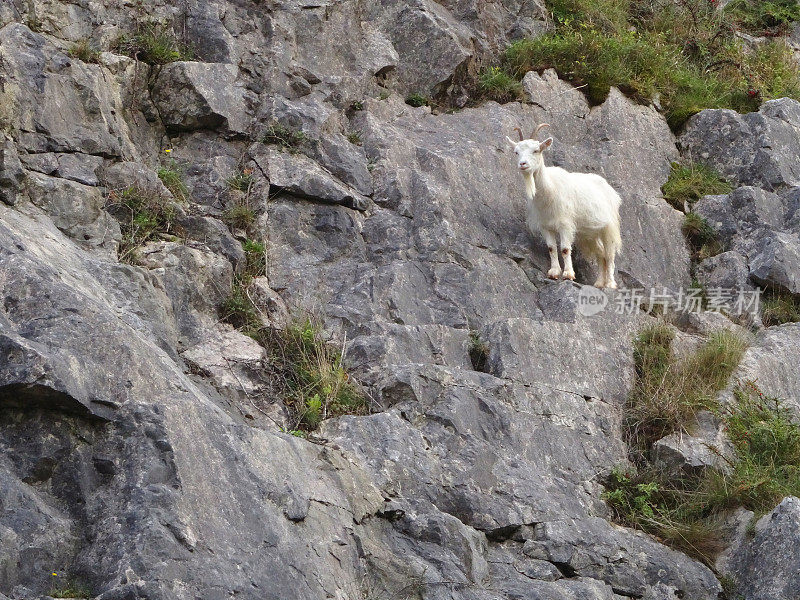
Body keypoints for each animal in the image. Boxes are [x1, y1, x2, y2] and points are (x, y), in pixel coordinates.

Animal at [506, 124, 624, 288]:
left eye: (536, 150)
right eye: (516, 152)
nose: (522, 164)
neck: (549, 189)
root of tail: (611, 190)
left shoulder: (565, 225)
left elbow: (565, 249)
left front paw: (568, 274)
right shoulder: (545, 226)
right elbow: (551, 248)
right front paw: (554, 273)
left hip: (608, 227)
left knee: (610, 253)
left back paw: (610, 284)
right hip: (590, 233)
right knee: (600, 253)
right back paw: (599, 283)